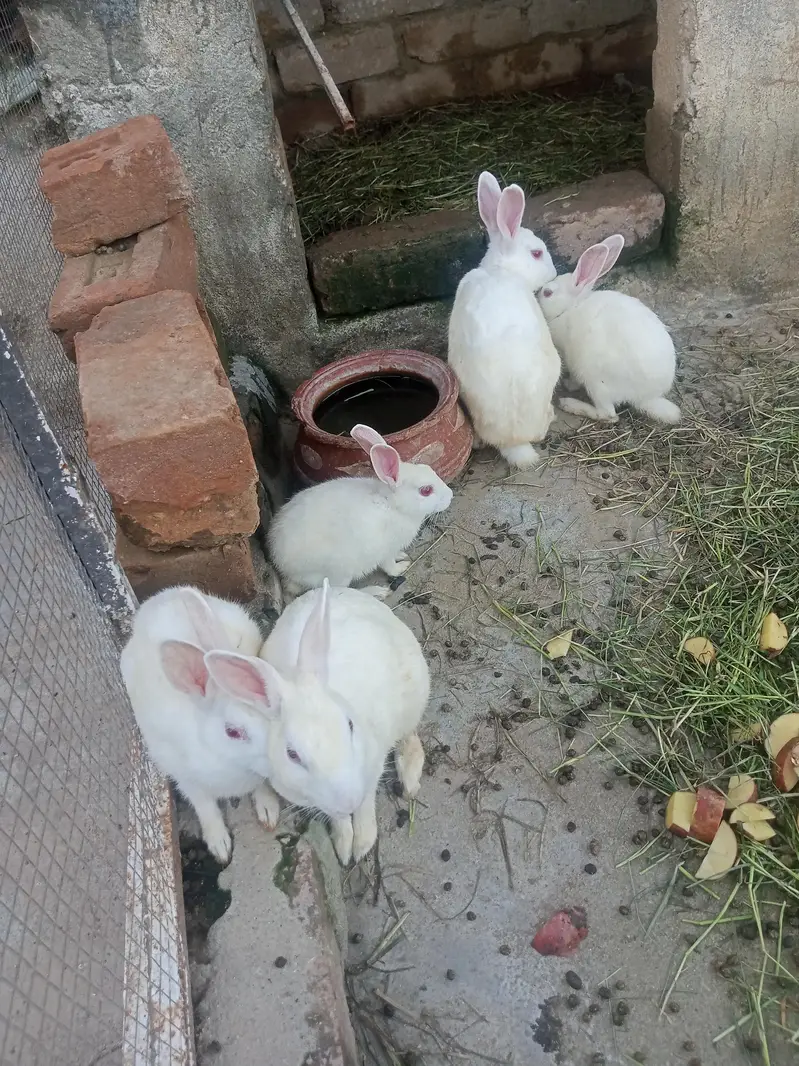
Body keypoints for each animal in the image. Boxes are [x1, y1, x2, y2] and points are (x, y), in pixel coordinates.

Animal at [120, 586, 281, 864]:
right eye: (232, 732)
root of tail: (156, 600)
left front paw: (268, 809)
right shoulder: (184, 776)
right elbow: (205, 806)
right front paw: (220, 846)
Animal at [203, 579, 430, 866]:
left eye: (350, 725)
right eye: (292, 754)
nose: (348, 800)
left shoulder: (372, 766)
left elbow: (366, 803)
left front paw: (362, 843)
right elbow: (339, 816)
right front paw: (344, 847)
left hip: (414, 696)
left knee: (410, 737)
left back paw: (409, 780)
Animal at [267, 423, 452, 599]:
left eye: (428, 468)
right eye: (426, 490)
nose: (450, 496)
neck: (392, 504)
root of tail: (286, 571)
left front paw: (402, 555)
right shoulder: (385, 551)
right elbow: (389, 566)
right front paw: (402, 566)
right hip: (340, 571)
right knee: (338, 590)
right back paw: (376, 592)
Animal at [538, 234, 681, 425]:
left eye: (548, 293)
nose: (537, 294)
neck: (571, 306)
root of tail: (645, 397)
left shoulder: (571, 356)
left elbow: (574, 377)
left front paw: (569, 384)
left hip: (596, 380)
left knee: (609, 415)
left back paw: (570, 404)